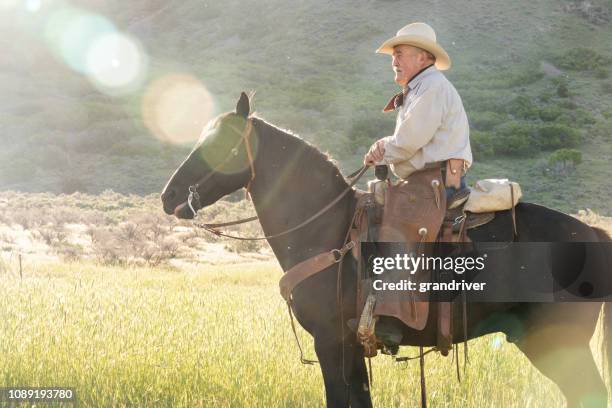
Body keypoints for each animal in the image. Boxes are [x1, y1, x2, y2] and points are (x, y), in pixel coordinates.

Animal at [161, 93, 612, 408]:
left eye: (220, 144)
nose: (169, 197)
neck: (328, 227)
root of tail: (592, 233)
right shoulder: (350, 347)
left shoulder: (330, 342)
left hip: (560, 345)